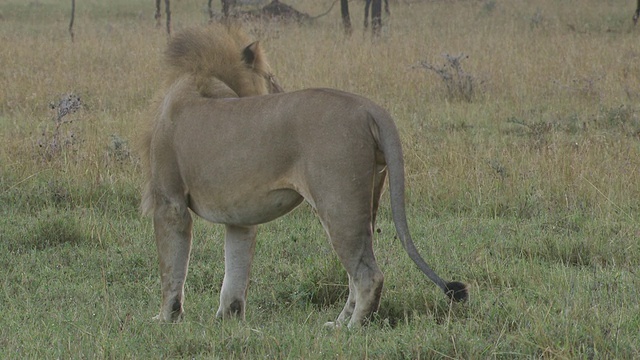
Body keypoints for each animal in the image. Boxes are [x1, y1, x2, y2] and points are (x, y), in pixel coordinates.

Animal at [140, 23, 468, 328]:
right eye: (271, 77)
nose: (279, 88)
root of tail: (369, 107)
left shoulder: (170, 203)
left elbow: (172, 267)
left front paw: (165, 318)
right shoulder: (239, 216)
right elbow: (235, 270)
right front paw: (228, 319)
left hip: (339, 204)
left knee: (368, 274)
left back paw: (353, 328)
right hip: (367, 199)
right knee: (356, 273)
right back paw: (338, 323)